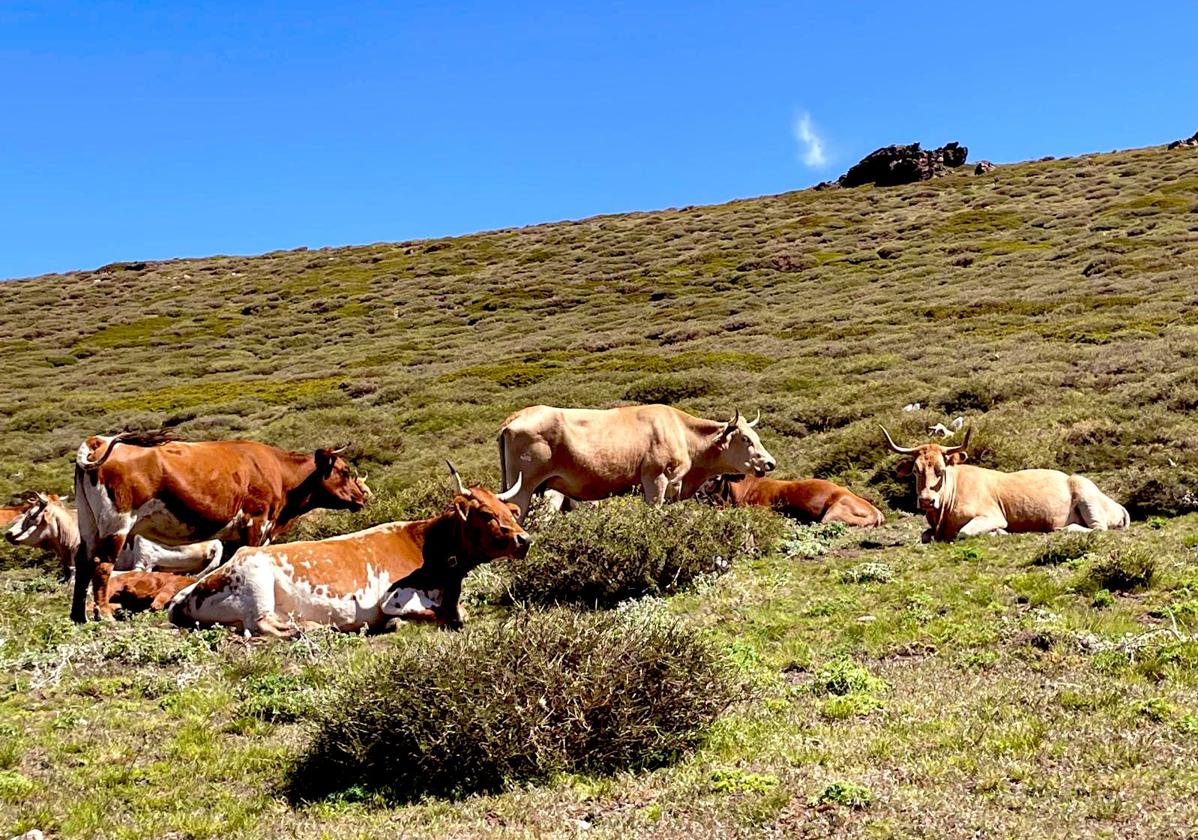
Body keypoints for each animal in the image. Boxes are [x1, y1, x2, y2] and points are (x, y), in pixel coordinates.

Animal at [71, 431, 368, 623]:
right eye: (344, 471)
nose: (362, 496)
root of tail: (99, 441)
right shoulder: (256, 524)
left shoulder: (232, 536)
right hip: (116, 524)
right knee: (102, 566)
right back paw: (104, 615)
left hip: (88, 522)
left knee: (83, 563)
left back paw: (77, 615)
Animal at [168, 464, 529, 637]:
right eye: (486, 513)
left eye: (509, 511)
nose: (524, 539)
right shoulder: (393, 598)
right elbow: (440, 615)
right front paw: (394, 624)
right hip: (256, 583)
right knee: (263, 625)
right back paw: (314, 628)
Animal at [886, 426, 1126, 544]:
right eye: (915, 471)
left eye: (941, 470)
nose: (926, 500)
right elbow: (924, 535)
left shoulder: (993, 516)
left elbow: (965, 532)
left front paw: (999, 533)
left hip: (1085, 492)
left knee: (1097, 528)